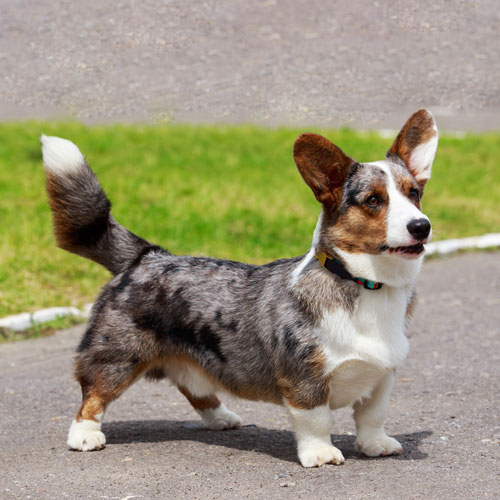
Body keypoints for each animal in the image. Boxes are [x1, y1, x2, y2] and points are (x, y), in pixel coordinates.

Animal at [40, 108, 438, 464]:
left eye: (414, 193)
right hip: (119, 356)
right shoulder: (304, 379)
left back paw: (221, 417)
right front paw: (321, 454)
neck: (368, 283)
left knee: (194, 388)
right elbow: (316, 420)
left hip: (191, 361)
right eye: (373, 200)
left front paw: (375, 445)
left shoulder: (382, 376)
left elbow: (372, 416)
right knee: (93, 394)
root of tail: (145, 256)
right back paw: (85, 435)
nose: (422, 226)